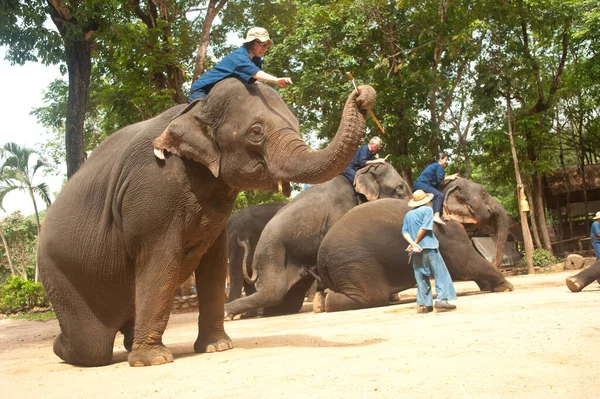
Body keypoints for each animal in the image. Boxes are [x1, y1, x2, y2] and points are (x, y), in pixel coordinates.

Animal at [37, 76, 378, 368]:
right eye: (256, 132)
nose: (362, 94)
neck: (195, 110)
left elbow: (213, 263)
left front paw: (217, 347)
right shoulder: (154, 187)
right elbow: (159, 259)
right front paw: (154, 361)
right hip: (60, 274)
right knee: (91, 346)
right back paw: (62, 348)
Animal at [225, 161, 412, 320]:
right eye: (400, 187)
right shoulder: (340, 209)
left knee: (287, 300)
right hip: (272, 253)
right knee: (273, 293)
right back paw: (230, 314)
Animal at [314, 198, 516, 314]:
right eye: (484, 196)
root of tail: (321, 258)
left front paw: (489, 287)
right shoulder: (448, 232)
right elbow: (466, 264)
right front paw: (506, 287)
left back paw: (320, 303)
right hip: (354, 262)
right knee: (372, 296)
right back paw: (326, 303)